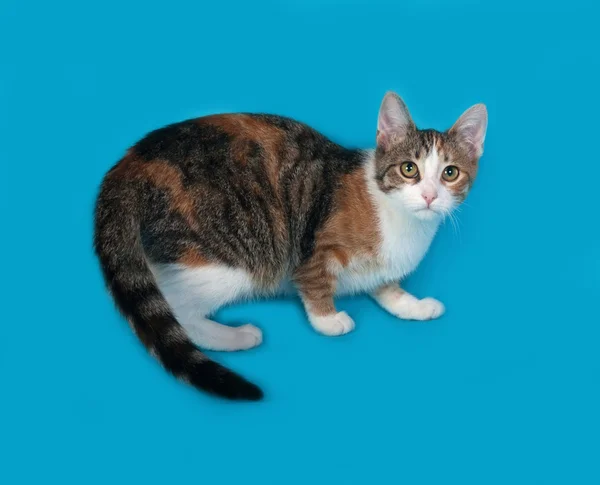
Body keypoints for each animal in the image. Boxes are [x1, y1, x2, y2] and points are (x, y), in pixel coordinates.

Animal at [95, 91, 488, 400]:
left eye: (450, 173)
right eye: (409, 169)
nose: (429, 196)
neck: (405, 223)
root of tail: (129, 164)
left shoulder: (383, 265)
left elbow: (385, 285)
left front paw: (412, 305)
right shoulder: (314, 248)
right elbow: (314, 280)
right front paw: (328, 319)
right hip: (235, 258)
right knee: (177, 308)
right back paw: (237, 336)